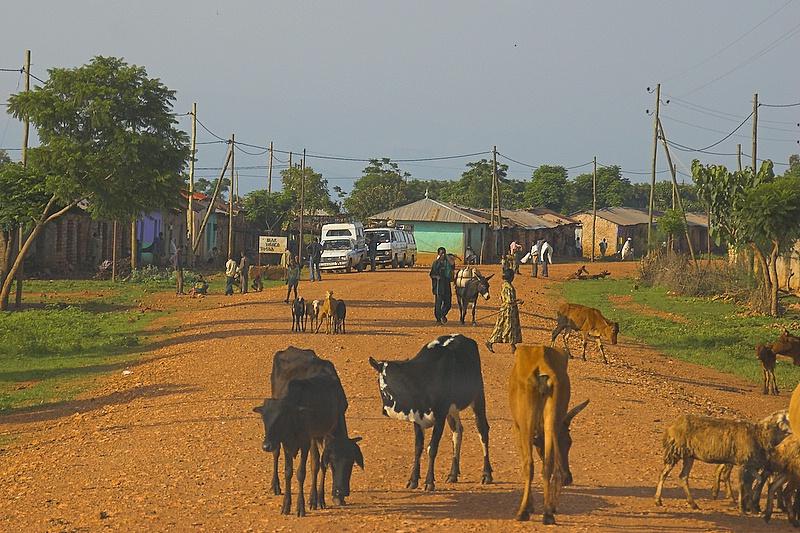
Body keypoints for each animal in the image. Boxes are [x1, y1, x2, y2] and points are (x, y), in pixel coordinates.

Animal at [258, 348, 364, 512]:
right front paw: (308, 501)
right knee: (276, 453)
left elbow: (319, 464)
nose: (341, 491)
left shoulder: (319, 435)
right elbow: (306, 467)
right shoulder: (306, 438)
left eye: (351, 462)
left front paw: (320, 499)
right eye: (333, 461)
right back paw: (275, 485)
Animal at [370, 332, 494, 490]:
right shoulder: (417, 419)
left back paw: (487, 474)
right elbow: (418, 448)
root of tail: (462, 337)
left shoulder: (440, 416)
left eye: (397, 380)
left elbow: (432, 448)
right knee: (457, 430)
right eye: (380, 380)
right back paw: (453, 474)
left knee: (482, 430)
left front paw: (429, 482)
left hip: (477, 397)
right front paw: (413, 480)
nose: (386, 410)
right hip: (452, 409)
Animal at [510, 344, 592, 524]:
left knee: (530, 464)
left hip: (526, 422)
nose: (569, 478)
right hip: (553, 418)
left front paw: (530, 506)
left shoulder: (517, 427)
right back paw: (548, 512)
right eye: (569, 442)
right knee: (550, 465)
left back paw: (523, 511)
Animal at [656, 412, 788, 512]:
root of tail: (672, 426)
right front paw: (743, 508)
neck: (760, 434)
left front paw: (750, 506)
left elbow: (753, 483)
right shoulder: (744, 463)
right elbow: (743, 484)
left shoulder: (751, 465)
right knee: (663, 474)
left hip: (689, 456)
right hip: (675, 451)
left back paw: (693, 503)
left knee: (683, 476)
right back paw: (658, 500)